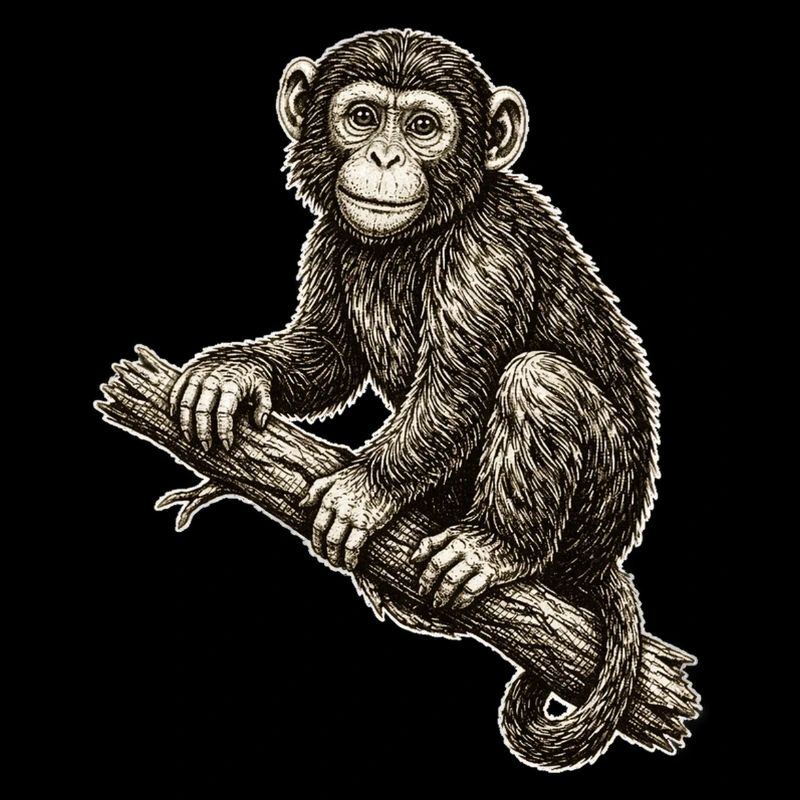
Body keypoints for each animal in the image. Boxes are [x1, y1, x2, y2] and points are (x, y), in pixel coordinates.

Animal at [168, 30, 658, 771]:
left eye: (424, 127)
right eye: (363, 116)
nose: (384, 156)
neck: (417, 235)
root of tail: (603, 561)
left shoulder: (489, 254)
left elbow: (456, 389)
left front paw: (362, 492)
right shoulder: (328, 239)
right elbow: (328, 353)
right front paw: (234, 371)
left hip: (596, 517)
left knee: (540, 379)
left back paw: (496, 548)